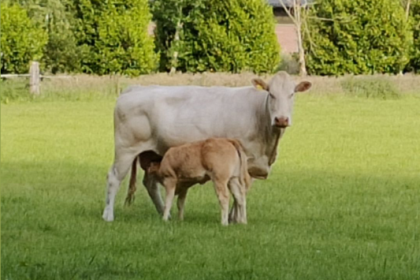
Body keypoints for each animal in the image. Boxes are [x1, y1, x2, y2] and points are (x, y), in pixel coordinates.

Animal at [102, 71, 312, 221]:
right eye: (271, 94)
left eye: (292, 94)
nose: (281, 119)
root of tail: (134, 88)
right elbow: (239, 191)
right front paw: (235, 219)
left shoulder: (251, 165)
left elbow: (241, 192)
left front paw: (234, 218)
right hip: (126, 149)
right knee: (114, 178)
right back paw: (108, 215)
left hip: (152, 153)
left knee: (150, 183)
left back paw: (165, 214)